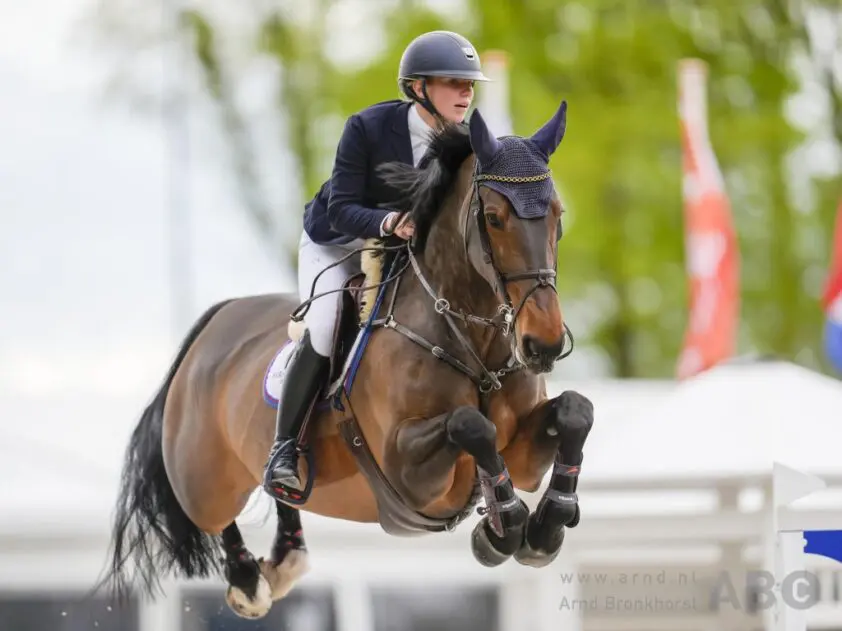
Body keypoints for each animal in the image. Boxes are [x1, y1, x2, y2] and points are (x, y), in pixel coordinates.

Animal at [97, 99, 595, 619]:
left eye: (557, 215)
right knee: (215, 516)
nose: (544, 344)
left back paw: (286, 551)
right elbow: (471, 425)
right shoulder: (406, 471)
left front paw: (545, 525)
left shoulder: (521, 459)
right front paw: (507, 524)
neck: (470, 338)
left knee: (282, 494)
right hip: (201, 477)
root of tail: (216, 321)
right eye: (495, 218)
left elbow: (575, 411)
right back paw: (249, 579)